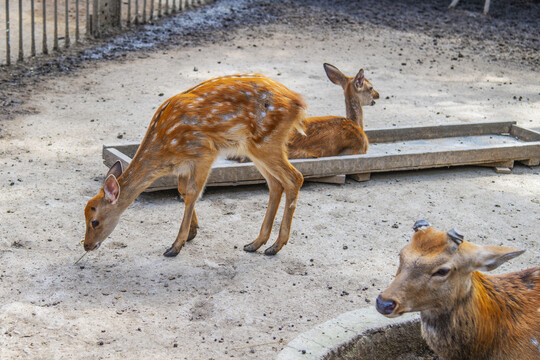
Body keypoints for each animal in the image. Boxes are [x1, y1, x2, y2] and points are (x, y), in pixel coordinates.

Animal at [82, 74, 306, 258]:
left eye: (95, 221)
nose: (86, 245)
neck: (165, 151)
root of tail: (298, 102)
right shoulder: (184, 166)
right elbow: (182, 191)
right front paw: (192, 231)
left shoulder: (204, 153)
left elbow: (192, 194)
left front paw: (175, 245)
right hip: (254, 147)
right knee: (275, 184)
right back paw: (256, 243)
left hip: (265, 142)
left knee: (294, 178)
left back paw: (275, 246)